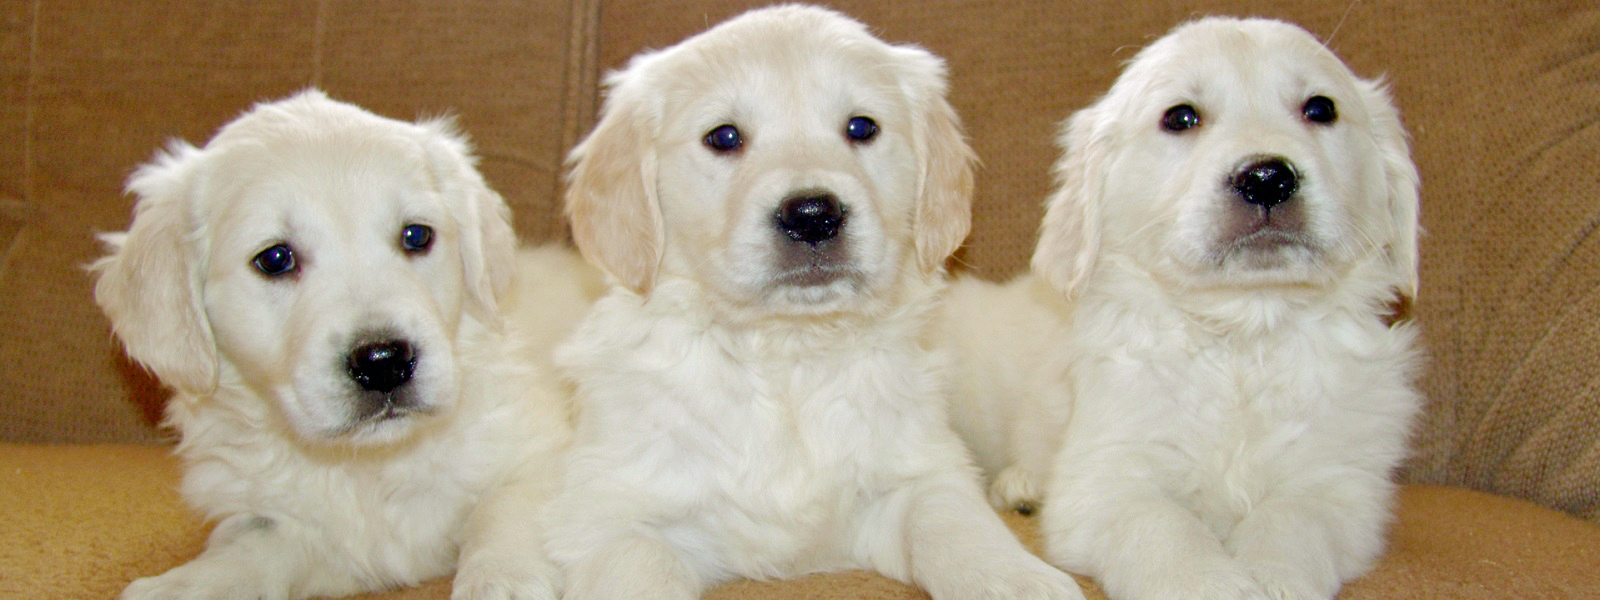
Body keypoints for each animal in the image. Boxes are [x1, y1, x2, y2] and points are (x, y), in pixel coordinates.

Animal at [93, 89, 598, 600]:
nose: (384, 361)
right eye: (275, 259)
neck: (372, 462)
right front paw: (189, 583)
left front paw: (501, 579)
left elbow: (504, 505)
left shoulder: (537, 449)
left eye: (416, 235)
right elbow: (254, 543)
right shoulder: (290, 521)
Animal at [544, 5, 1081, 600]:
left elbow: (956, 522)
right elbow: (640, 568)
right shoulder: (610, 514)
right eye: (723, 136)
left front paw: (1013, 577)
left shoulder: (917, 473)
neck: (788, 356)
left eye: (861, 127)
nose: (812, 215)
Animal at [940, 16, 1420, 600]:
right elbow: (1167, 531)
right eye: (1181, 117)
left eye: (1320, 109)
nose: (1267, 177)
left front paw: (1269, 577)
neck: (1242, 338)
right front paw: (1212, 582)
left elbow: (1291, 524)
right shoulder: (1108, 482)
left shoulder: (1339, 484)